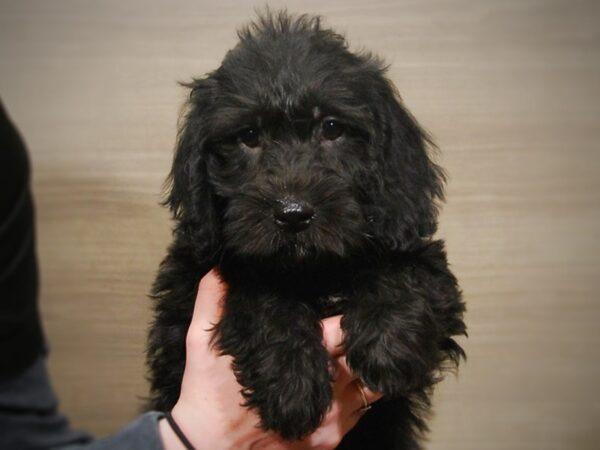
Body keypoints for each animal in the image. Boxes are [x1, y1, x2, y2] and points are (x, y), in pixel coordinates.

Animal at [148, 11, 466, 450]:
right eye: (248, 136)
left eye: (331, 128)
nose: (293, 214)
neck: (313, 269)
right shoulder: (190, 288)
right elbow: (261, 294)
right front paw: (291, 385)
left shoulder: (424, 261)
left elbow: (405, 269)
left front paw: (389, 345)